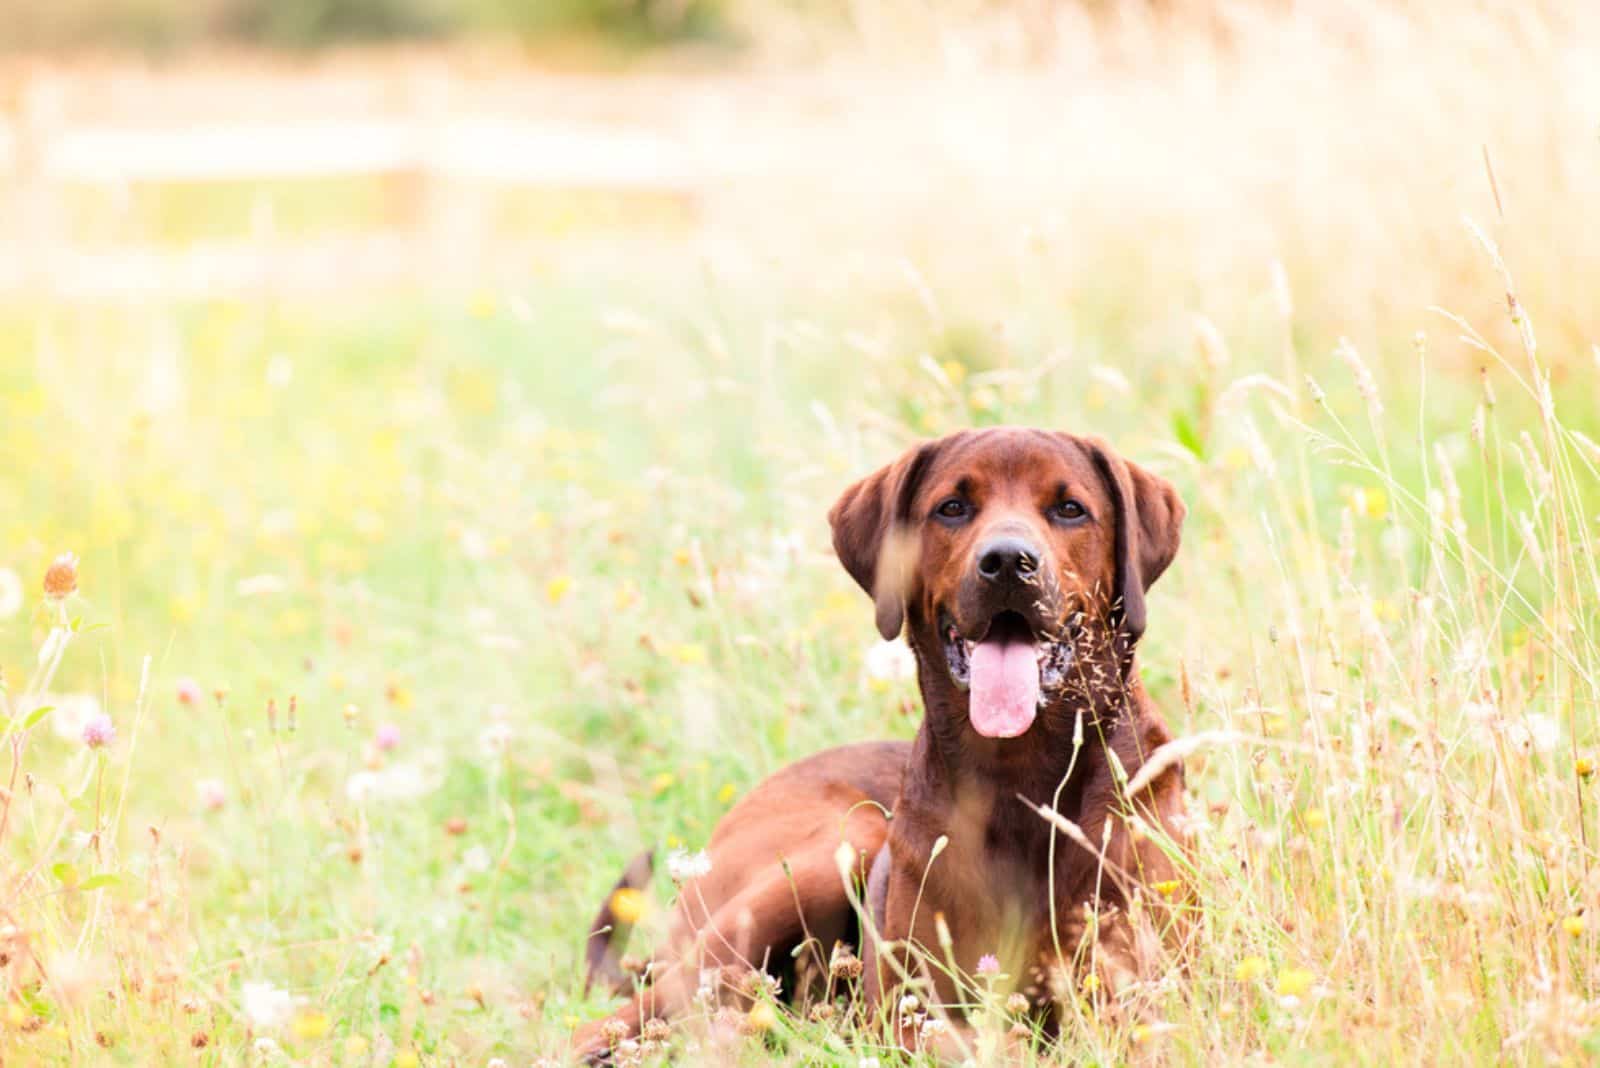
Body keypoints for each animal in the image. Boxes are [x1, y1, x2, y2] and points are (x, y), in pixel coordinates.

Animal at [576, 425, 1190, 1061]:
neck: (1023, 774)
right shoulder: (913, 1014)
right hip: (836, 850)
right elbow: (995, 1044)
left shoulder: (1150, 997)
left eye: (1070, 509)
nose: (1006, 562)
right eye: (953, 507)